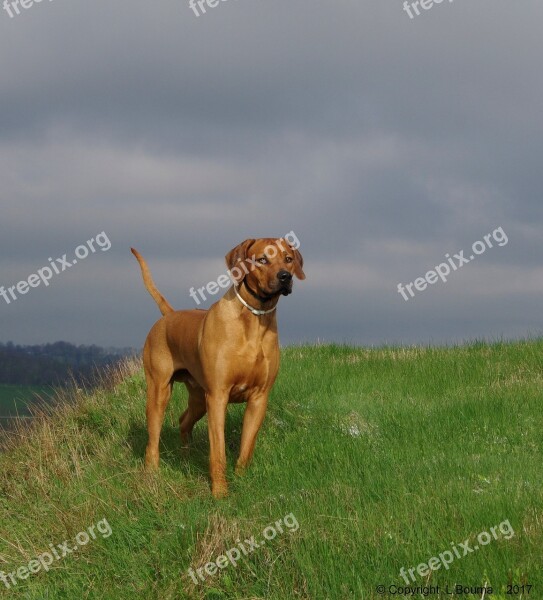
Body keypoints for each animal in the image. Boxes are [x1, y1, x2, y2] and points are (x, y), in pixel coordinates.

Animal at [130, 239, 304, 496]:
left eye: (288, 259)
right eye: (262, 259)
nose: (285, 277)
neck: (254, 319)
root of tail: (169, 315)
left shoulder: (259, 398)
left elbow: (246, 447)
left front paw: (241, 480)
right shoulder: (218, 396)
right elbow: (218, 452)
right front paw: (220, 492)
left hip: (199, 398)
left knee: (184, 421)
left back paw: (186, 456)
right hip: (159, 391)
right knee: (153, 439)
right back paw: (152, 473)